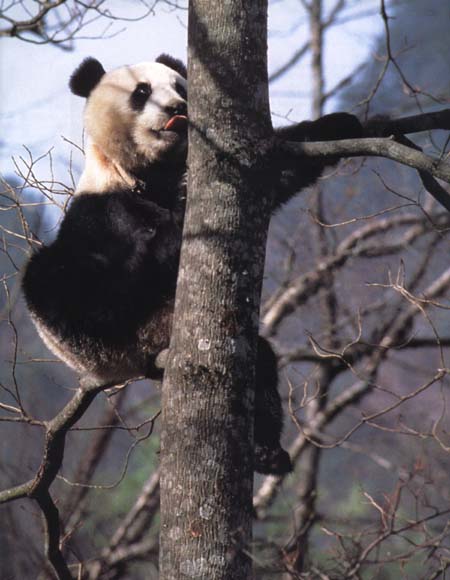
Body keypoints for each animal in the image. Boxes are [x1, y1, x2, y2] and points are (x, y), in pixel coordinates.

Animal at [22, 52, 364, 474]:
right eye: (141, 92)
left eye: (181, 87)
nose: (176, 108)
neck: (148, 172)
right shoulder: (100, 214)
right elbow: (109, 287)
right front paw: (177, 220)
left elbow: (271, 170)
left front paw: (341, 124)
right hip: (114, 340)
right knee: (47, 280)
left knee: (259, 366)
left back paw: (267, 452)